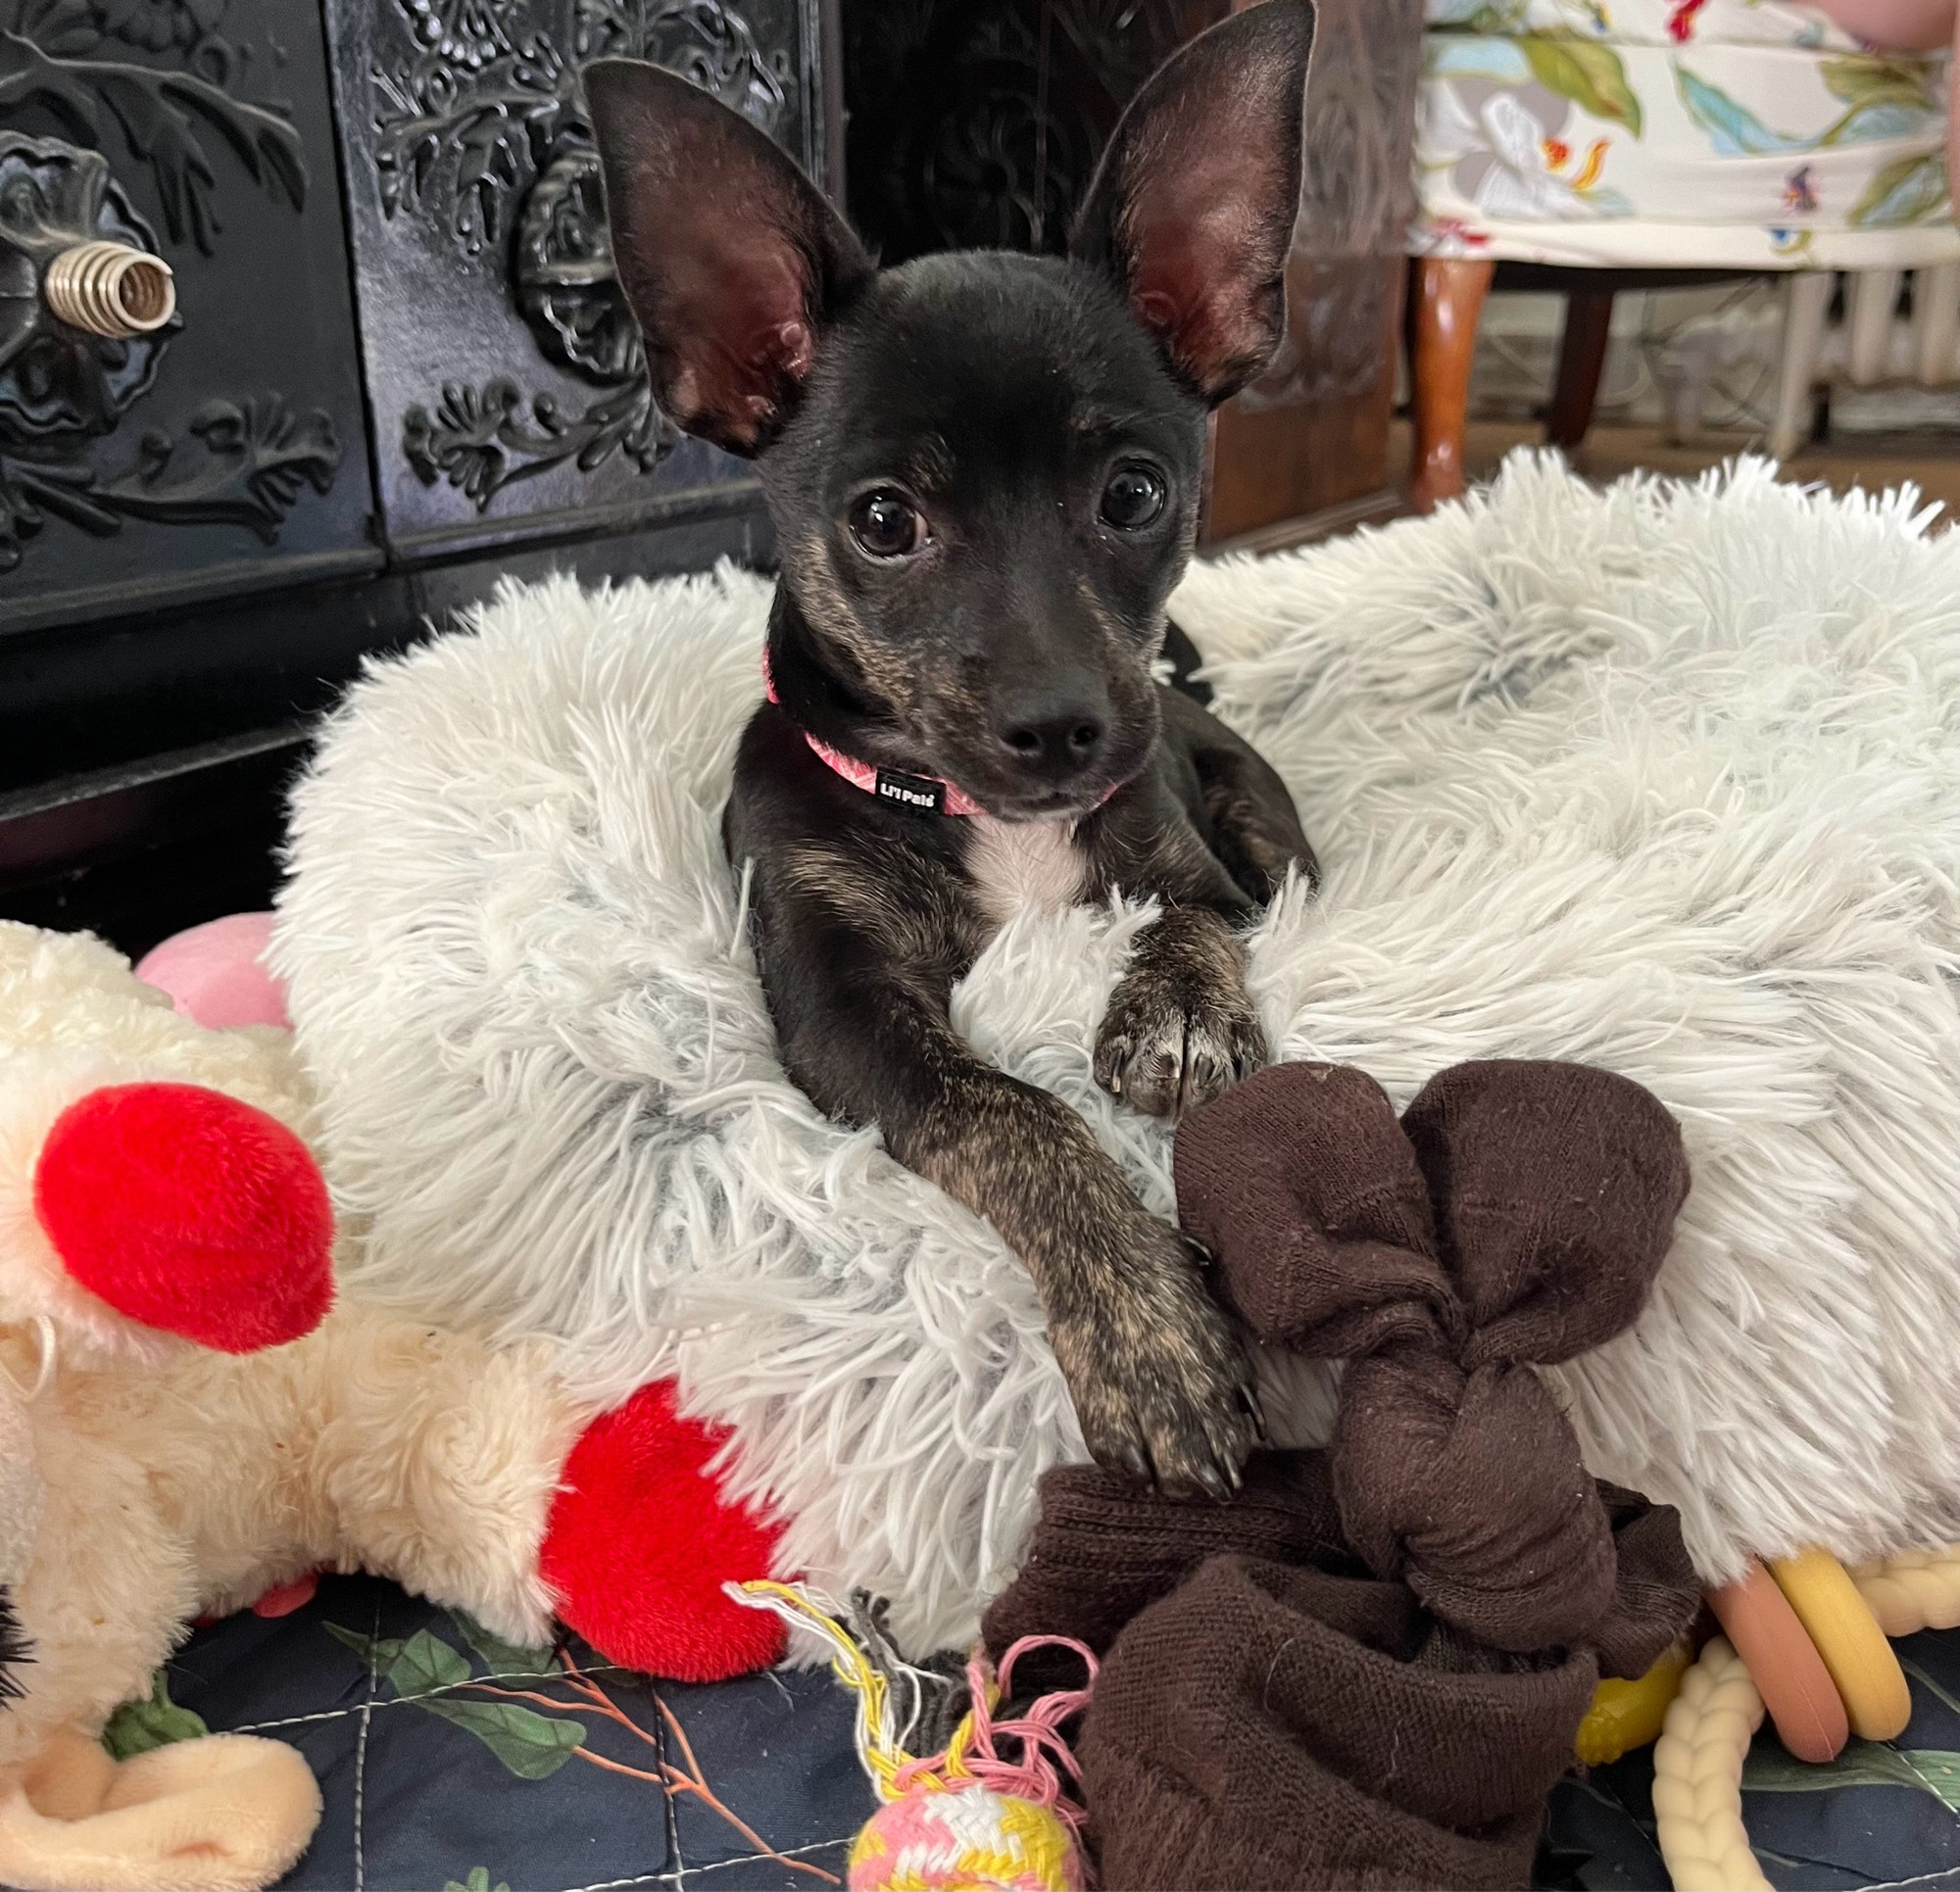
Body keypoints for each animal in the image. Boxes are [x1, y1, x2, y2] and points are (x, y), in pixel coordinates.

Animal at [580, 3, 1317, 1512]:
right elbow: (1012, 1114)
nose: (1064, 726)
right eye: (881, 521)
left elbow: (1190, 927)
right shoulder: (843, 1009)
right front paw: (1152, 1335)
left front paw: (1178, 1011)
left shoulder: (1187, 869)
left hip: (1264, 825)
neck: (980, 810)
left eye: (1135, 494)